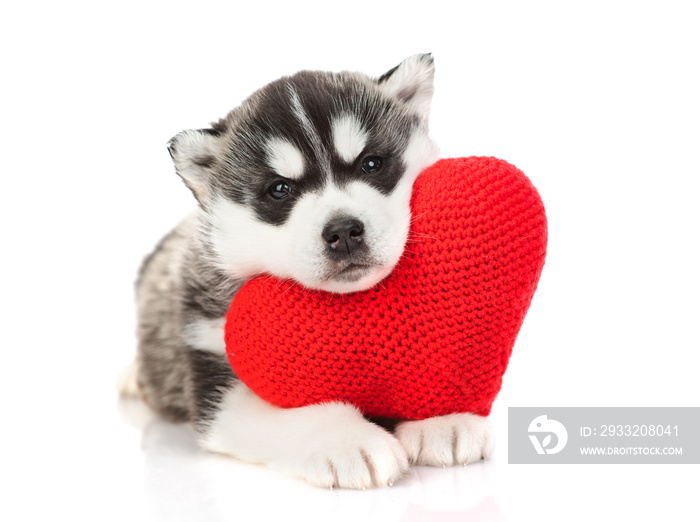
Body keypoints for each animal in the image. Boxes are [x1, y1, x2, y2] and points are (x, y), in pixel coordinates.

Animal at [121, 54, 492, 486]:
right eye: (280, 189)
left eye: (371, 164)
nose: (344, 231)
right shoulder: (219, 369)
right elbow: (292, 411)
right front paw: (348, 440)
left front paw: (444, 418)